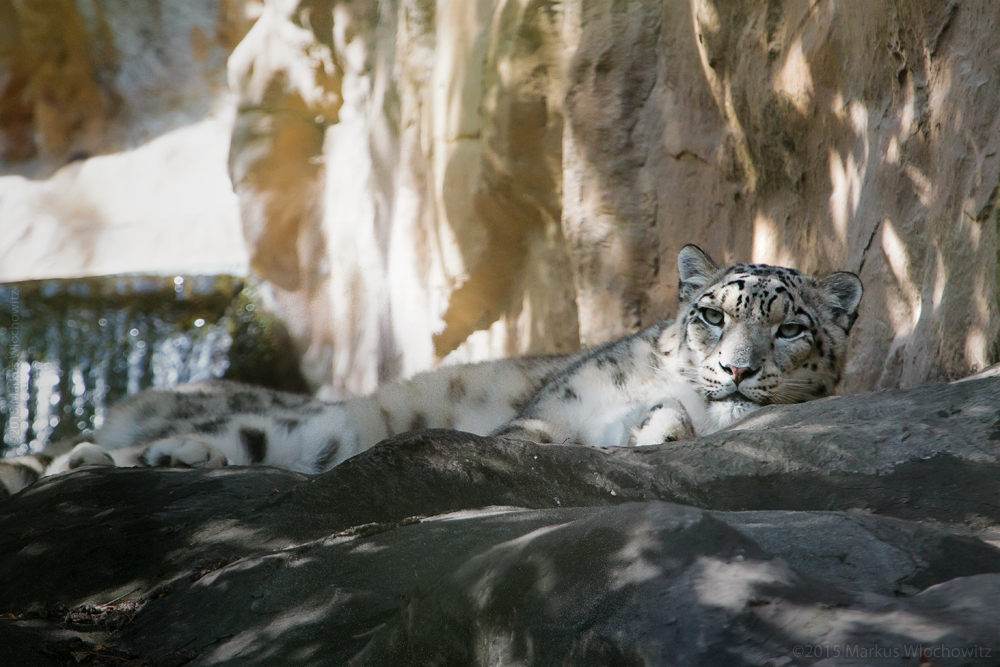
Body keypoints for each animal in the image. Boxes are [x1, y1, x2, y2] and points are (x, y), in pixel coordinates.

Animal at [0, 245, 860, 496]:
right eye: (713, 313)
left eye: (789, 327)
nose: (735, 368)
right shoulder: (558, 405)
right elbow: (535, 428)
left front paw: (664, 425)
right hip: (300, 419)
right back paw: (78, 459)